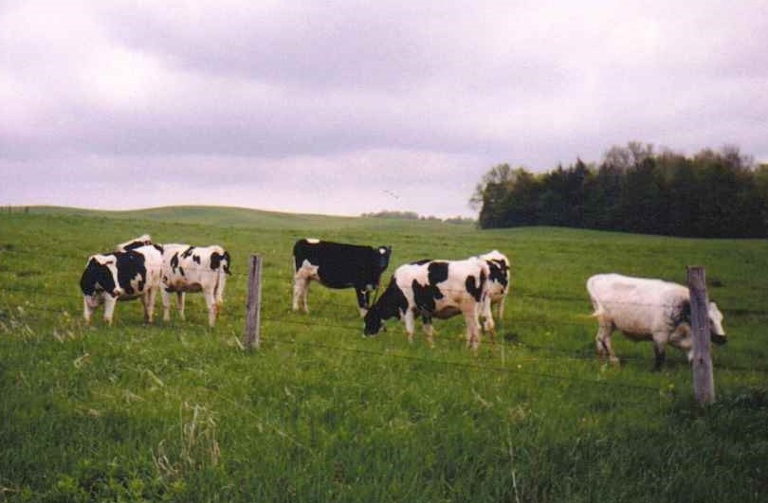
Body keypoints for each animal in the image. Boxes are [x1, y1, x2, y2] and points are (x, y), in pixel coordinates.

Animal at [586, 273, 727, 369]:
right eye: (709, 320)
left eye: (721, 318)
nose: (723, 338)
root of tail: (597, 278)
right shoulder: (660, 335)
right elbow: (660, 356)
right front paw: (656, 371)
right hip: (607, 323)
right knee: (604, 339)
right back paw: (613, 360)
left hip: (608, 324)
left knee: (600, 338)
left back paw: (604, 359)